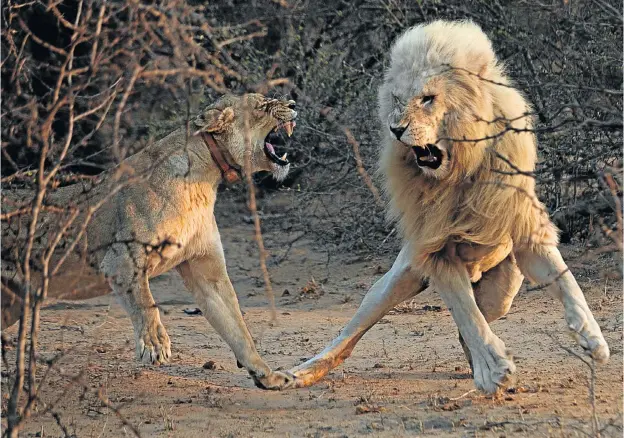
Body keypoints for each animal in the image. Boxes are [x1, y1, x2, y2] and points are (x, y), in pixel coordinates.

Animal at [1, 92, 298, 390]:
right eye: (261, 105)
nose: (294, 105)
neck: (205, 178)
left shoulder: (205, 268)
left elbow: (237, 326)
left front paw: (267, 375)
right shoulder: (121, 260)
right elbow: (145, 301)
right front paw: (155, 344)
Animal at [282, 20, 608, 396]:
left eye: (428, 98)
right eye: (397, 100)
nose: (396, 129)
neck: (460, 170)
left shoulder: (525, 231)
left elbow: (567, 282)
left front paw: (593, 340)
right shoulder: (436, 251)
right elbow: (467, 314)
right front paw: (495, 369)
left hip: (502, 294)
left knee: (475, 320)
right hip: (399, 277)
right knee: (352, 332)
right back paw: (299, 373)